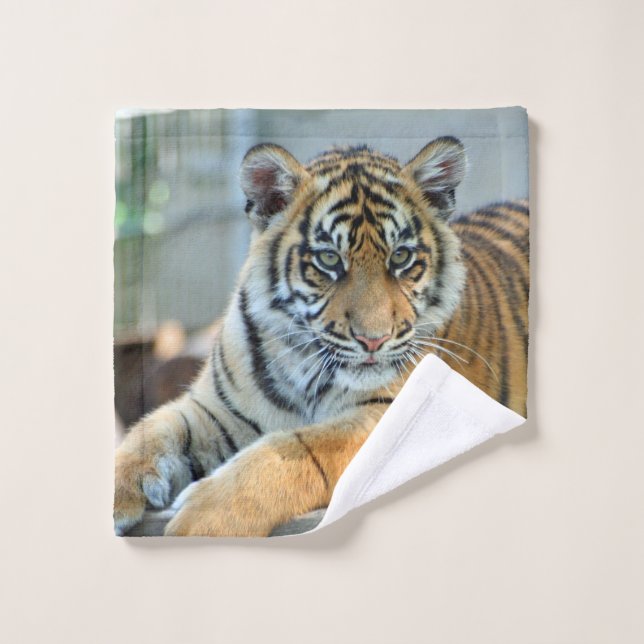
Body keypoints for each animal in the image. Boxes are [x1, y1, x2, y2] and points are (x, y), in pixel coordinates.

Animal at [114, 137, 529, 537]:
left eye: (401, 257)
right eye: (329, 259)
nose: (374, 340)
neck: (301, 359)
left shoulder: (390, 412)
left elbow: (300, 447)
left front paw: (202, 518)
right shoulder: (216, 410)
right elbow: (153, 429)